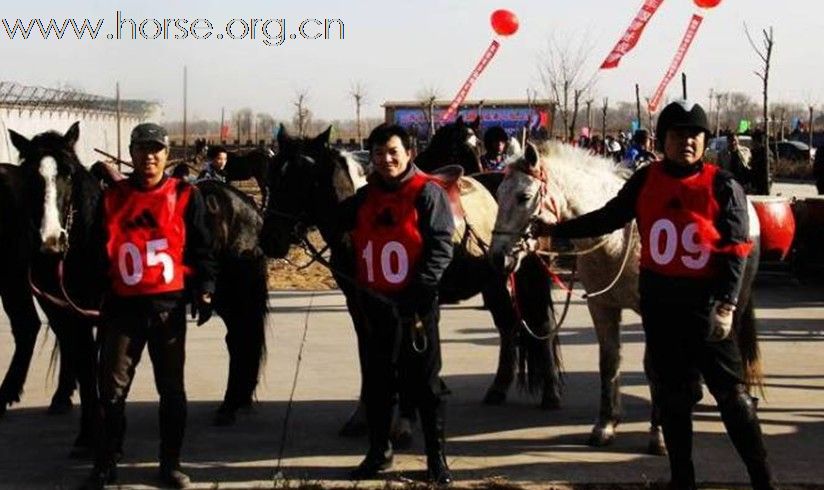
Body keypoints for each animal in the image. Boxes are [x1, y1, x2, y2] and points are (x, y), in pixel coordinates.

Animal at [260, 125, 564, 440]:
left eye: (301, 180)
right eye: (272, 176)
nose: (270, 239)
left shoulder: (407, 303)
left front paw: (403, 422)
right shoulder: (360, 306)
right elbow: (369, 358)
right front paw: (361, 417)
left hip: (527, 276)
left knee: (541, 324)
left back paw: (550, 393)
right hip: (493, 281)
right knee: (507, 326)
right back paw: (498, 388)